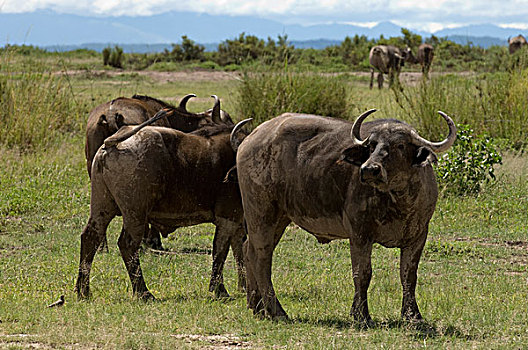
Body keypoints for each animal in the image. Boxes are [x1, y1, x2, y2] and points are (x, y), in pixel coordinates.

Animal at [74, 97, 252, 300]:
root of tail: (112, 141)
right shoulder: (227, 218)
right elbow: (220, 252)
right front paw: (219, 289)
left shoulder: (237, 221)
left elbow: (239, 251)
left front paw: (243, 287)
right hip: (135, 214)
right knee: (127, 244)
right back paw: (143, 292)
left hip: (101, 207)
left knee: (90, 237)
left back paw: (83, 290)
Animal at [235, 110, 454, 326]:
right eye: (372, 146)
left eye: (400, 145)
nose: (369, 169)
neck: (398, 199)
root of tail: (249, 139)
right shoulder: (359, 234)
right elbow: (363, 273)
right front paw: (361, 314)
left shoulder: (418, 236)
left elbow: (408, 275)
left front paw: (412, 314)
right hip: (262, 214)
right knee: (261, 257)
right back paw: (276, 311)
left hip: (279, 218)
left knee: (248, 249)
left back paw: (257, 306)